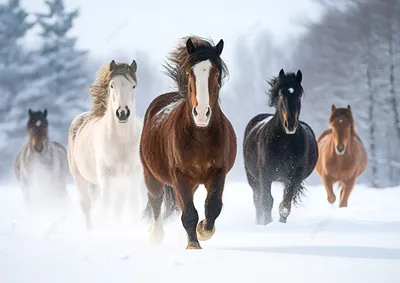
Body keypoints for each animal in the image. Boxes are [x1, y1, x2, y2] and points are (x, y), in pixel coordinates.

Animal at [67, 61, 145, 230]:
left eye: (133, 86)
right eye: (111, 85)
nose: (122, 113)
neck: (121, 141)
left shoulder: (133, 176)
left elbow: (133, 205)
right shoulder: (106, 176)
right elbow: (105, 206)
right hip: (80, 178)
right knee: (87, 205)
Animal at [139, 36, 236, 251]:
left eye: (216, 74)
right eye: (190, 73)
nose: (201, 113)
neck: (200, 137)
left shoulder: (218, 172)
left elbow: (213, 206)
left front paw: (203, 231)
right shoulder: (180, 175)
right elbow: (189, 212)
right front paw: (193, 245)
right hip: (151, 176)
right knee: (155, 201)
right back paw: (155, 235)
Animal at [242, 69, 318, 226]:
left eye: (299, 94)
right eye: (281, 94)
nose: (290, 124)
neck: (284, 144)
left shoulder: (293, 178)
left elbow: (285, 205)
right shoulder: (265, 175)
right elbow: (266, 202)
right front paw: (267, 224)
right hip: (253, 178)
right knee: (257, 200)